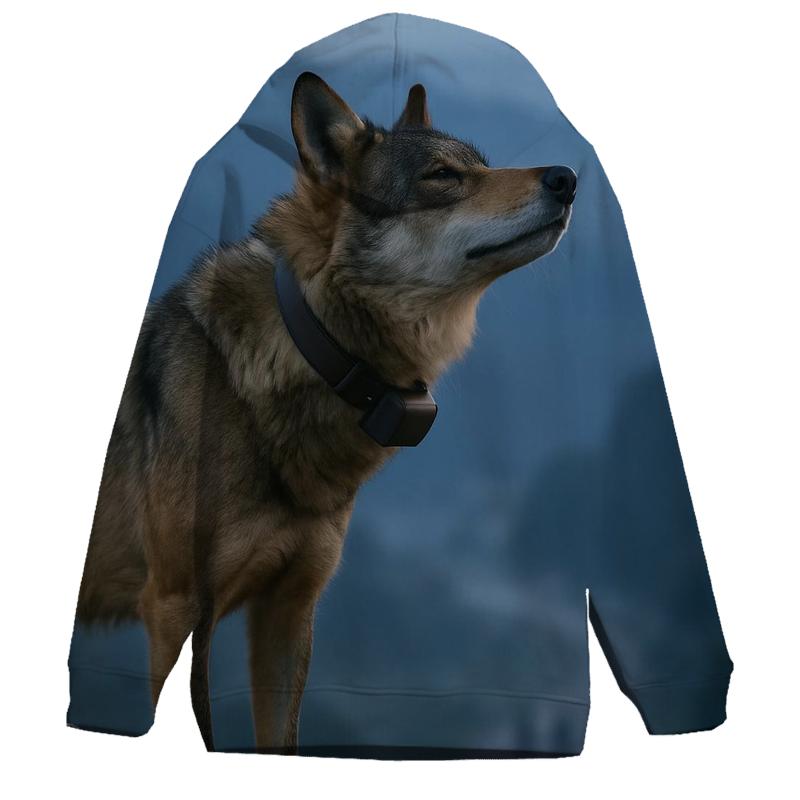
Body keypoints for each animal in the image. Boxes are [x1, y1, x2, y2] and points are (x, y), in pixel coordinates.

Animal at [74, 71, 577, 753]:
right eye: (443, 176)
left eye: (483, 166)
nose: (567, 178)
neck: (310, 348)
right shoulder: (174, 608)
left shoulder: (290, 607)